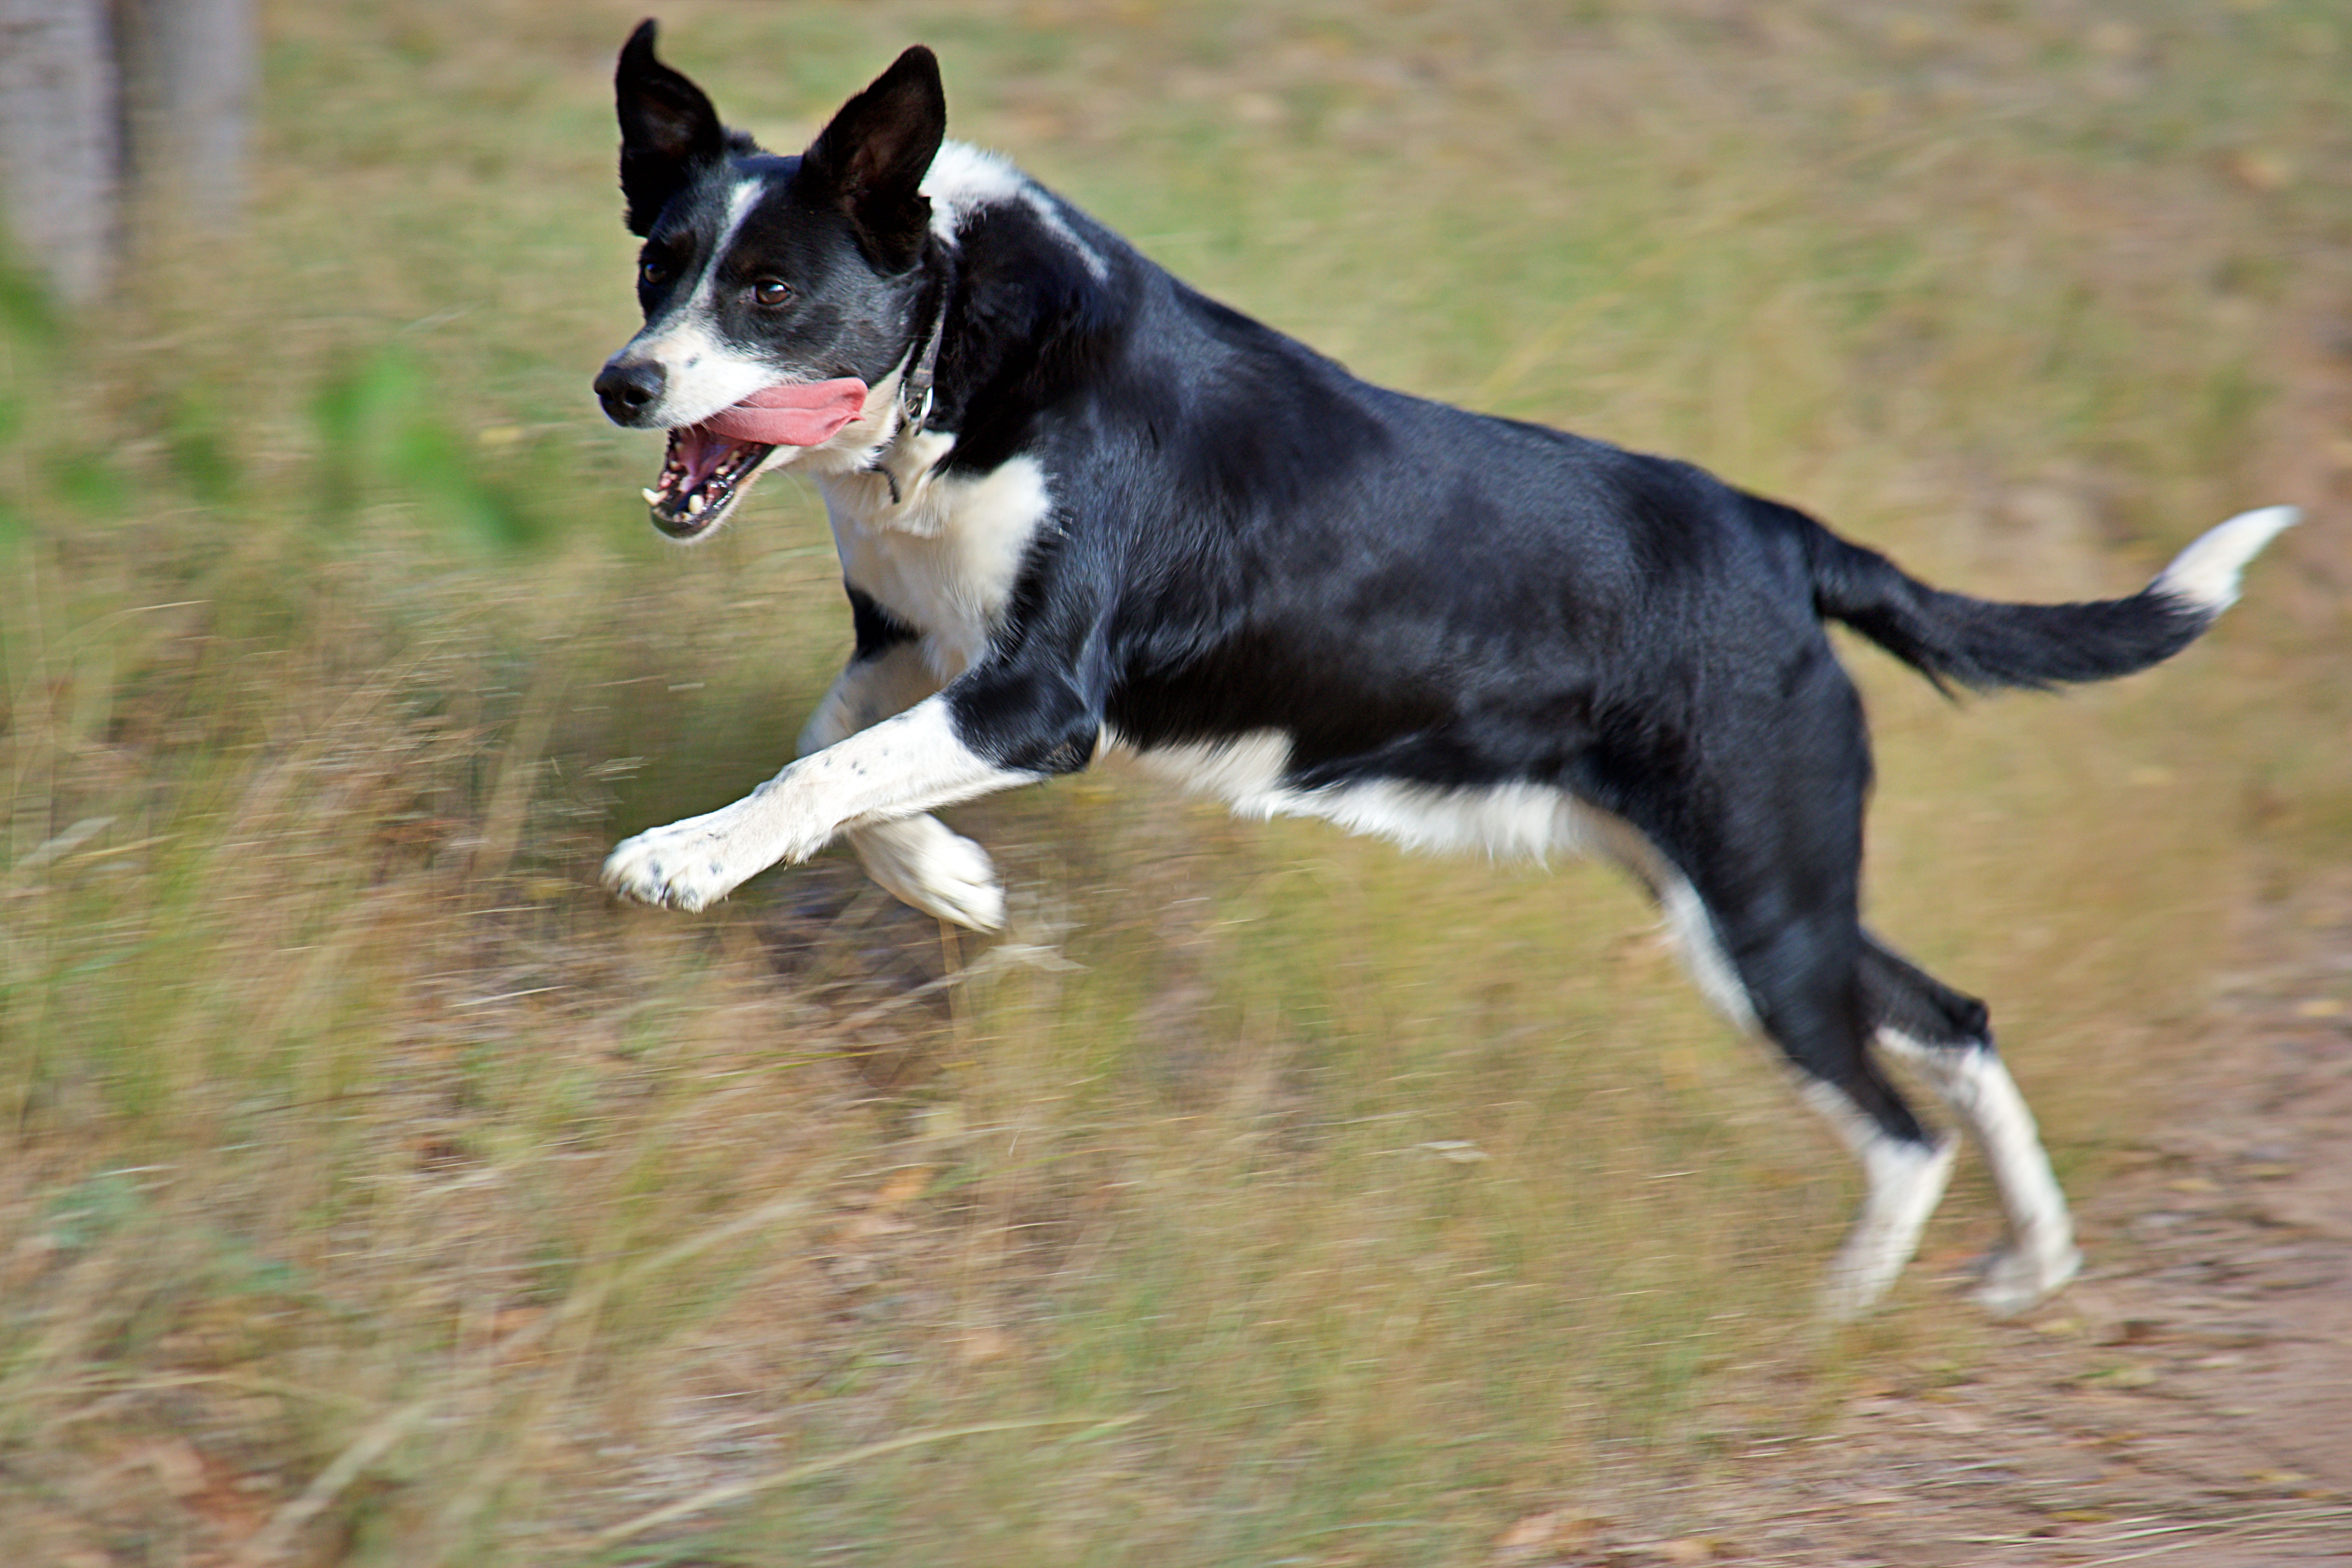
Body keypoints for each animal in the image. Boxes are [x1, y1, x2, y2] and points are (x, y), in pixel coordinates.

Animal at [593, 27, 2296, 1326]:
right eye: (658, 264)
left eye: (770, 292)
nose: (622, 381)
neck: (960, 344)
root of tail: (1782, 534)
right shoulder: (916, 652)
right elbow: (835, 765)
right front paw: (955, 883)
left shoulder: (1040, 702)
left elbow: (816, 772)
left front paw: (682, 861)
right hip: (1751, 886)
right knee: (1955, 1017)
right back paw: (2036, 1263)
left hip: (1756, 911)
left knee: (1896, 1123)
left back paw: (1831, 1323)